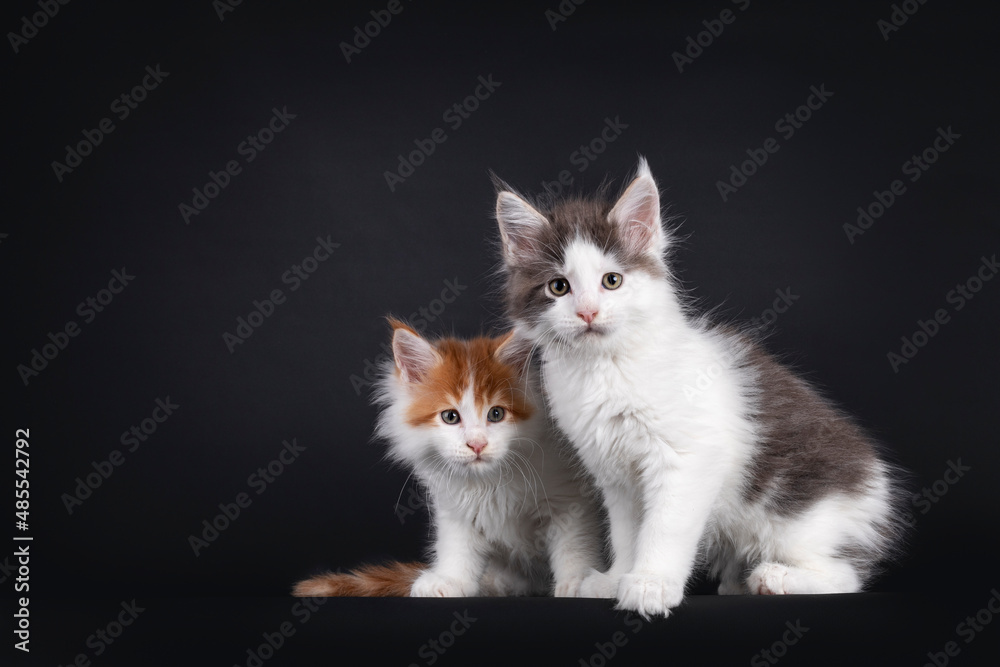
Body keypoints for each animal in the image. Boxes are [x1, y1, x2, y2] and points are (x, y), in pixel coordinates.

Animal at [292, 320, 604, 596]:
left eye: (496, 414)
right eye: (450, 417)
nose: (477, 444)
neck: (489, 481)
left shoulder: (570, 499)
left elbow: (573, 544)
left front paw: (579, 580)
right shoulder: (454, 507)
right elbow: (457, 546)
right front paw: (450, 580)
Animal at [492, 159, 908, 620]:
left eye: (612, 281)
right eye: (558, 287)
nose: (587, 312)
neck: (605, 368)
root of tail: (876, 489)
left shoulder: (688, 458)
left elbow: (665, 527)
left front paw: (651, 585)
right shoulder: (616, 475)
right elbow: (627, 532)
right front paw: (618, 577)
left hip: (798, 520)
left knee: (845, 575)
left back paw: (774, 578)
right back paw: (738, 582)